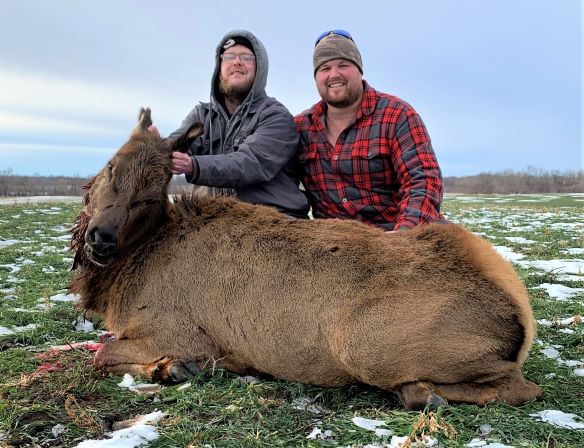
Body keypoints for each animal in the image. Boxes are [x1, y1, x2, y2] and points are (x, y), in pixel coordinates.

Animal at [69, 107, 544, 410]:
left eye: (151, 194)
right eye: (111, 167)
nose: (101, 238)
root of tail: (520, 311)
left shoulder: (180, 331)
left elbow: (102, 354)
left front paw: (173, 368)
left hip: (363, 342)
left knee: (525, 387)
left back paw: (425, 393)